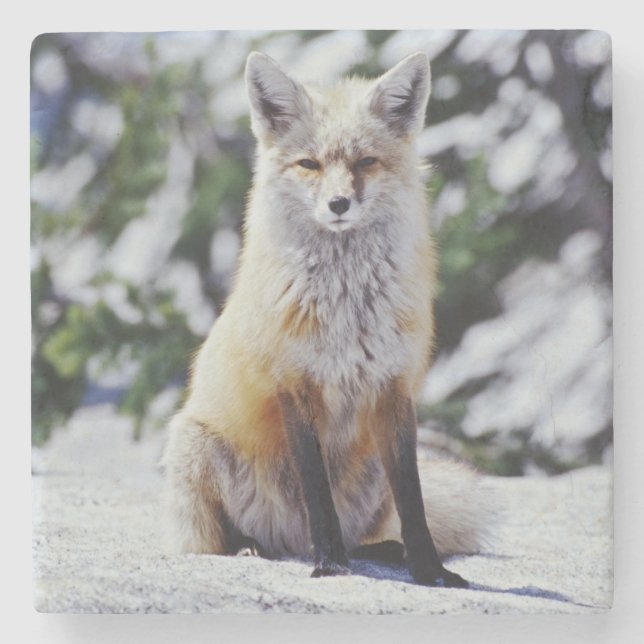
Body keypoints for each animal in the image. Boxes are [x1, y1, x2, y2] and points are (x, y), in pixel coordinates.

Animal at [162, 51, 495, 588]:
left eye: (365, 162)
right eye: (309, 164)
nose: (339, 204)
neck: (347, 309)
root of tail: (289, 542)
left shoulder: (394, 387)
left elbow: (415, 501)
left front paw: (430, 571)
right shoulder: (295, 386)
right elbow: (317, 492)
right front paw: (331, 565)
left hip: (371, 470)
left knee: (371, 530)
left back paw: (385, 551)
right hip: (194, 444)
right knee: (219, 539)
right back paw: (253, 546)